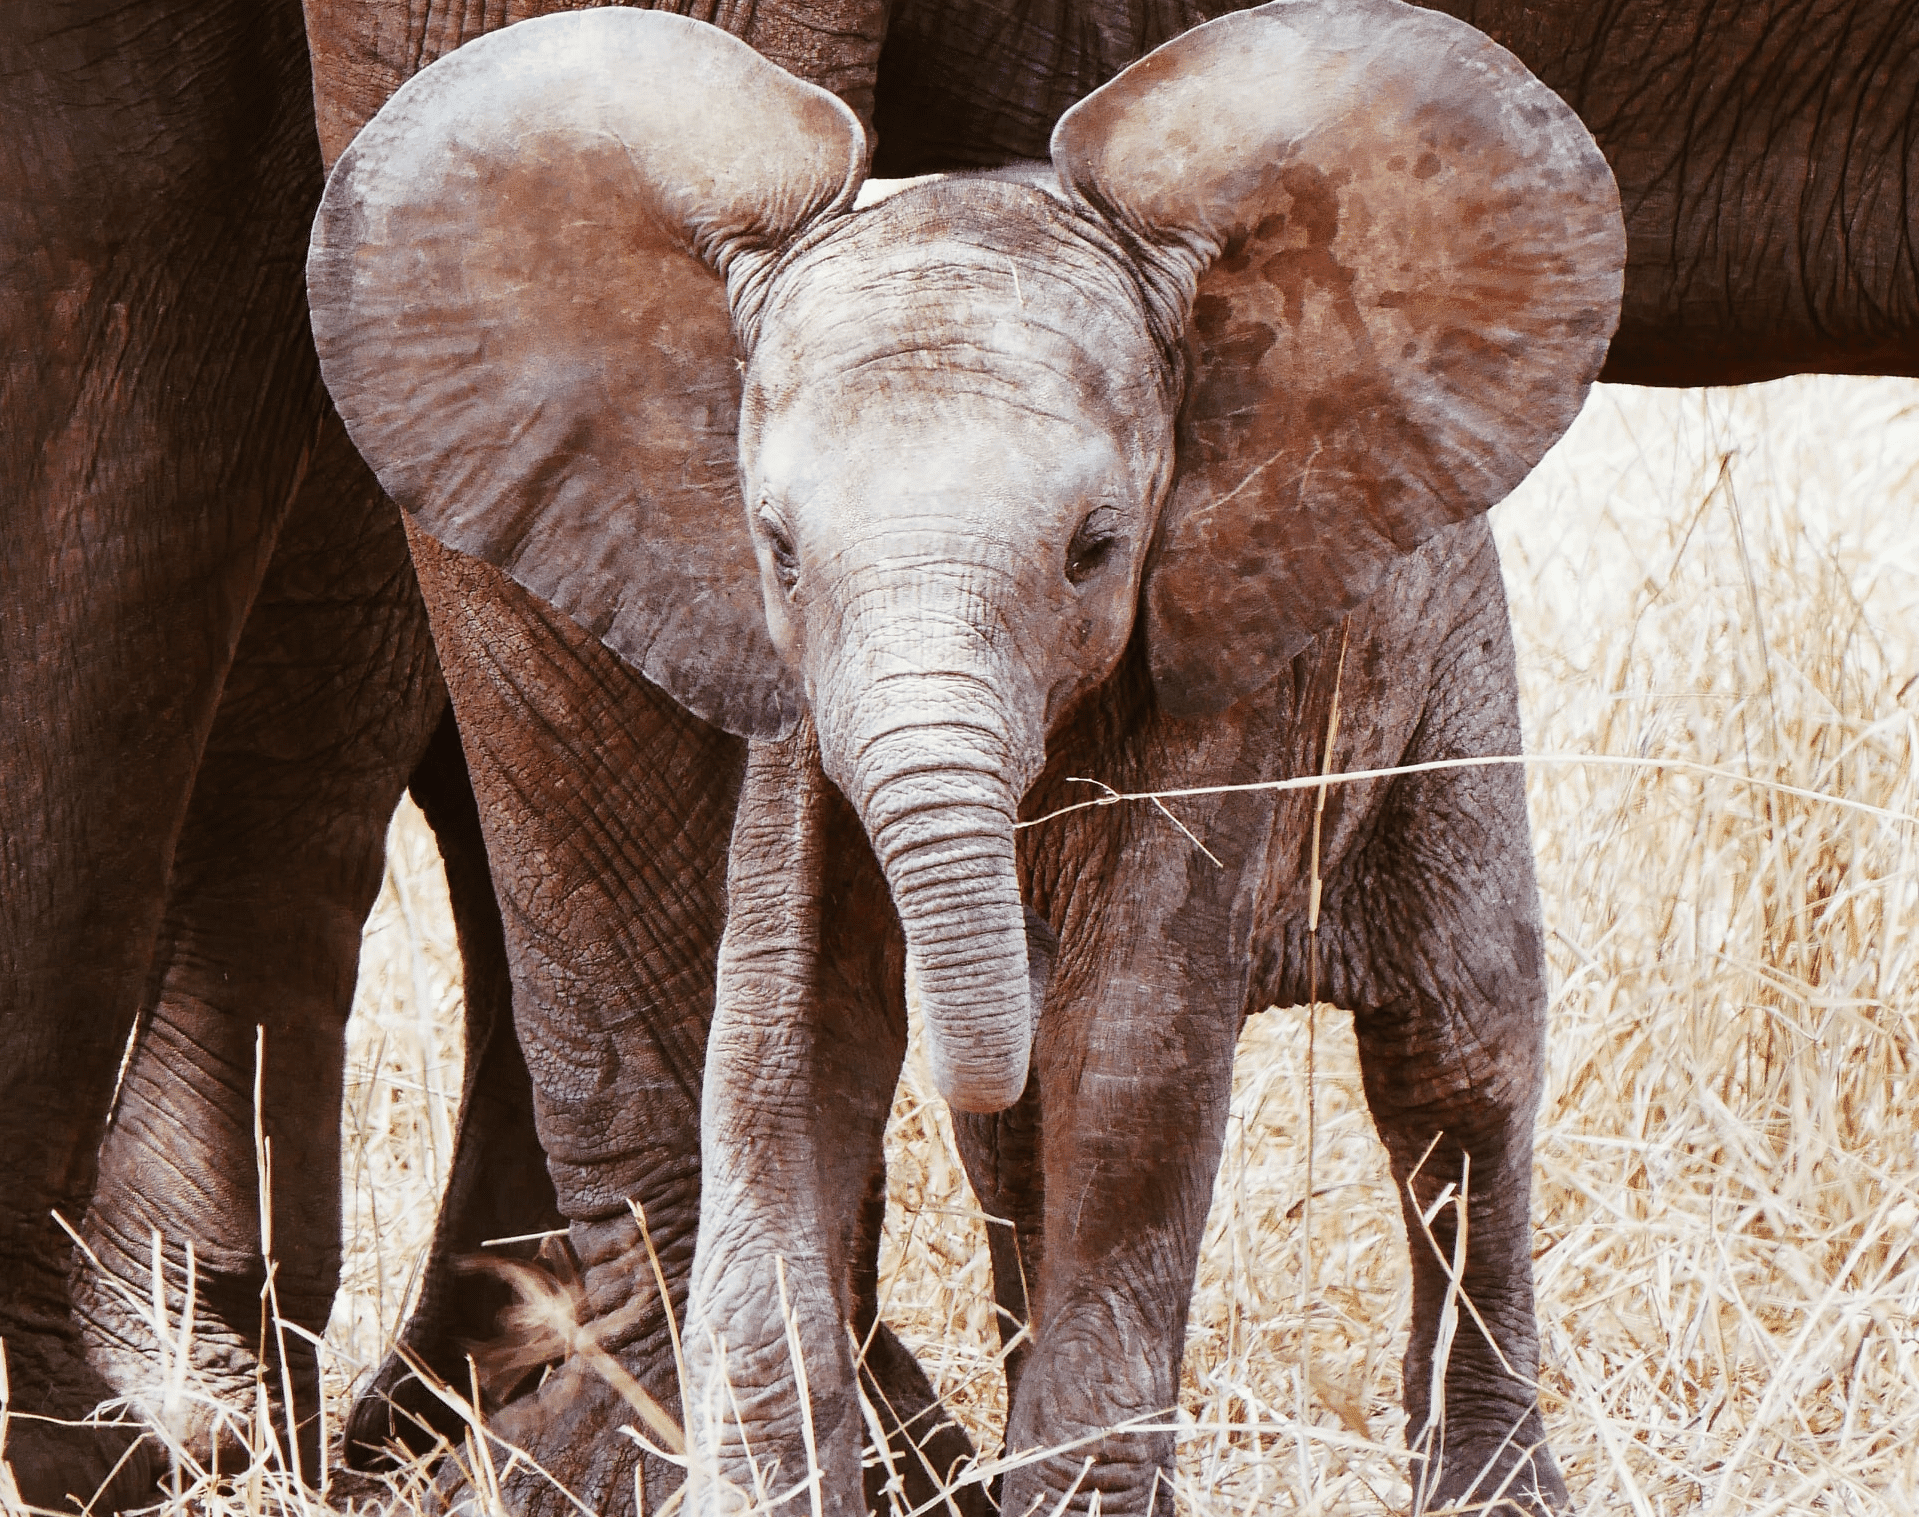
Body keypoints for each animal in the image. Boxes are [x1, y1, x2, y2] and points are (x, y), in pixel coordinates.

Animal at [310, 5, 1619, 1511]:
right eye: (776, 548)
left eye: (1095, 548)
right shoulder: (797, 725)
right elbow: (779, 1052)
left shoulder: (1220, 665)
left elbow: (1131, 1050)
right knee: (1017, 1150)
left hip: (1447, 669)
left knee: (1455, 1056)